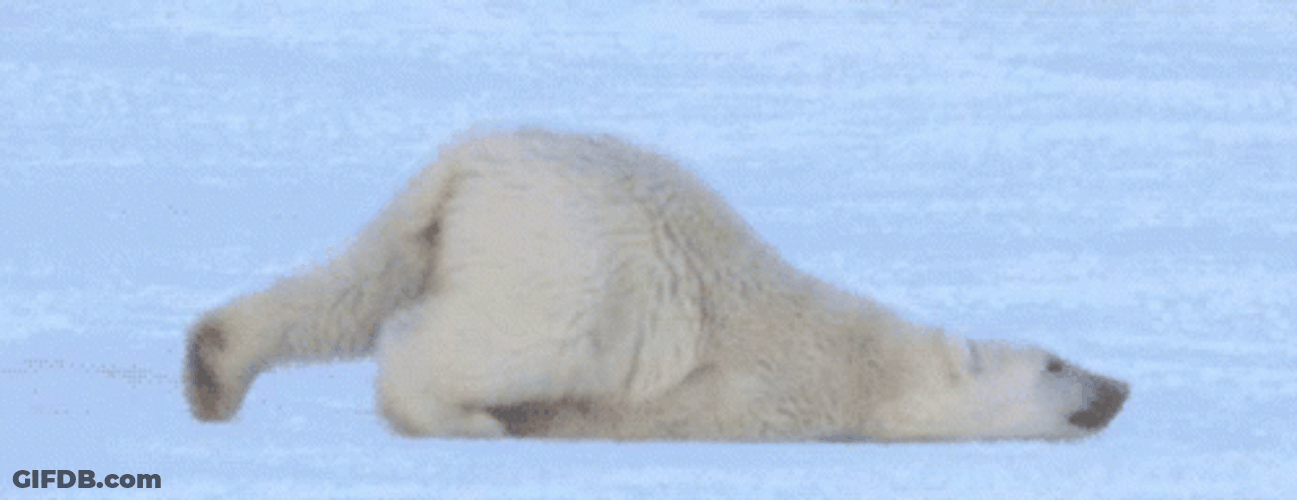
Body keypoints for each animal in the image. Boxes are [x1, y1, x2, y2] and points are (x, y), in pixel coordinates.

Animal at [185, 128, 1129, 441]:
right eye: (1053, 361)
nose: (1119, 387)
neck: (869, 364)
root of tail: (473, 159)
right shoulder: (755, 389)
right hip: (573, 261)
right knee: (489, 342)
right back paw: (465, 418)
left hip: (445, 228)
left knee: (353, 287)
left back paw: (214, 365)